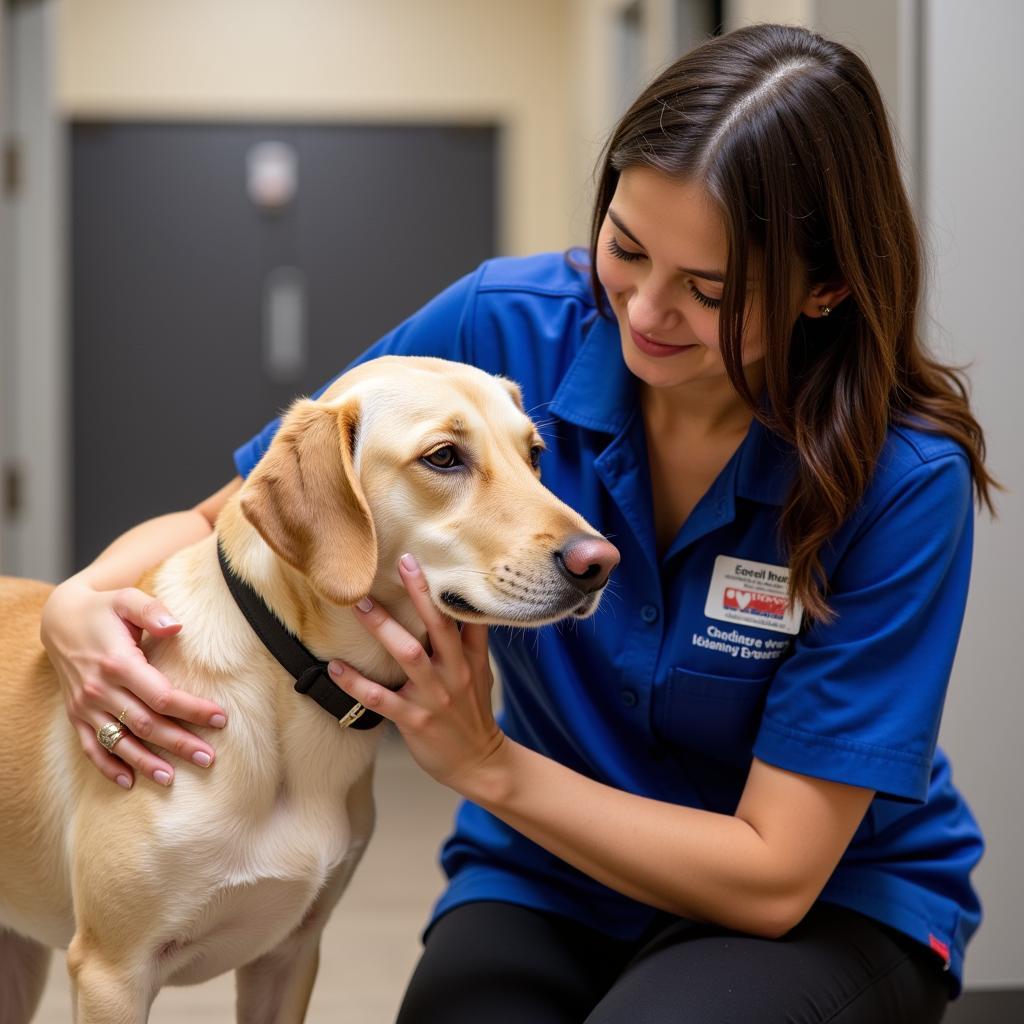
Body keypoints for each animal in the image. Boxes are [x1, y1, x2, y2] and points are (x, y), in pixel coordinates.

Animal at [0, 356, 614, 1019]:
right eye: (444, 457)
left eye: (534, 455)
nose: (602, 562)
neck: (289, 686)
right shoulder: (112, 973)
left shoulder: (290, 958)